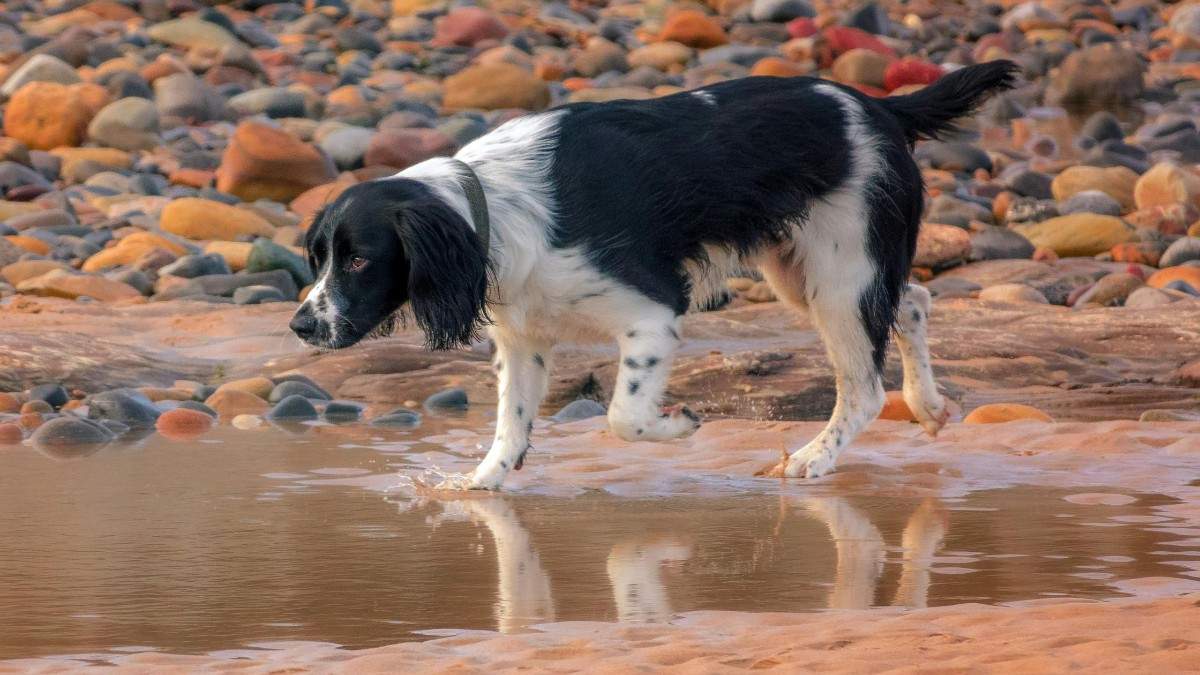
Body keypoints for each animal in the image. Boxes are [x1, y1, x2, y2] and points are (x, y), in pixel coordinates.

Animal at [290, 59, 1012, 487]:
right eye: (318, 256)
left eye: (360, 258)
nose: (299, 326)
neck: (491, 203)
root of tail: (884, 109)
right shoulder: (524, 338)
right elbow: (511, 423)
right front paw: (480, 487)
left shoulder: (651, 312)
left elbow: (622, 416)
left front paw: (681, 423)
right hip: (807, 270)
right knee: (913, 300)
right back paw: (926, 404)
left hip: (839, 276)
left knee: (862, 388)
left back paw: (812, 458)